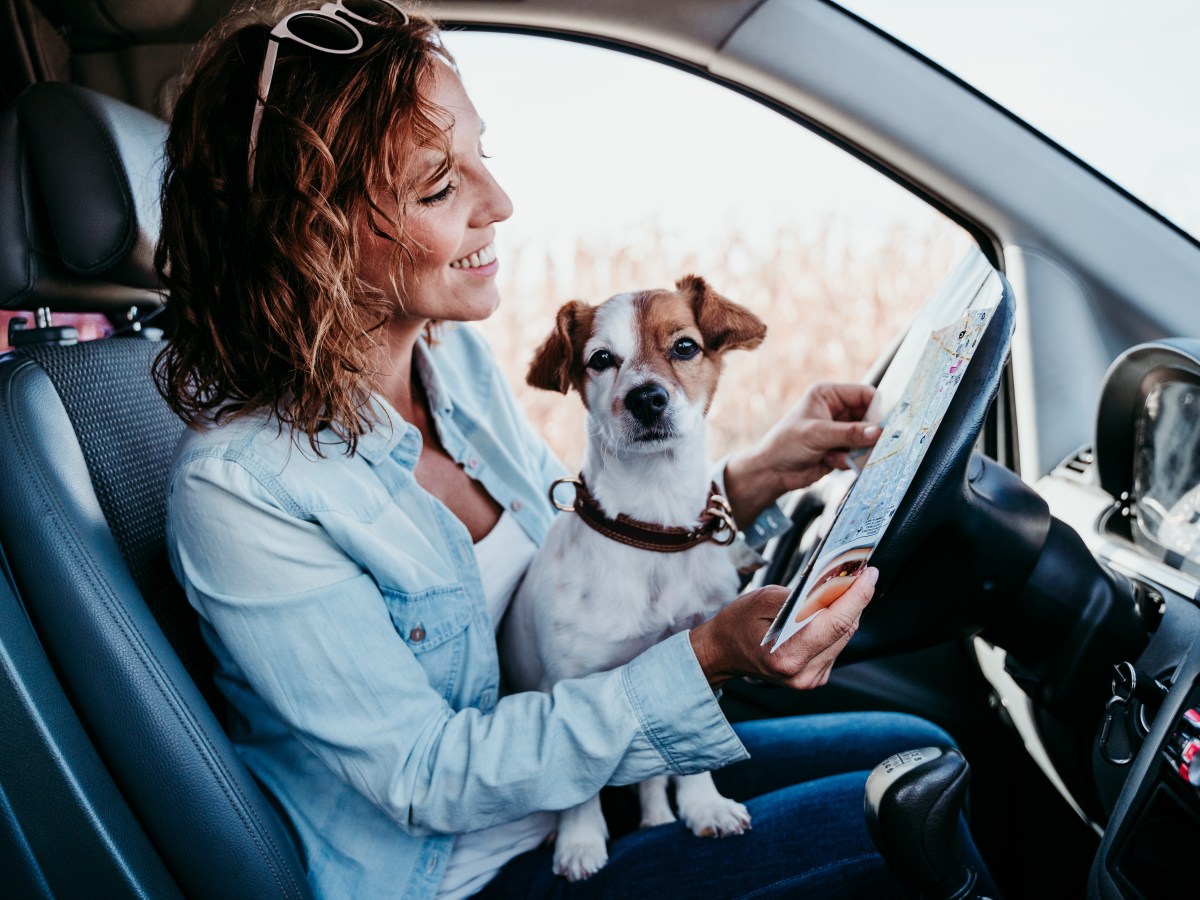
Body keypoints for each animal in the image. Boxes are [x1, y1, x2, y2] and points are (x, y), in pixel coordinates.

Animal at [499, 273, 763, 883]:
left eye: (685, 346)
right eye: (601, 359)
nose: (646, 398)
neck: (652, 528)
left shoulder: (690, 660)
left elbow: (689, 747)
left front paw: (702, 806)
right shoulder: (568, 684)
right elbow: (576, 783)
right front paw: (579, 841)